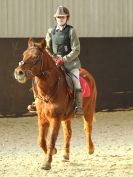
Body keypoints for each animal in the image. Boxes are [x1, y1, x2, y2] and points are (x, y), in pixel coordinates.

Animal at [14, 38, 96, 170]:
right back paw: (65, 155)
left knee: (87, 128)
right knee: (68, 133)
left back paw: (90, 149)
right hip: (66, 118)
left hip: (89, 110)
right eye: (24, 54)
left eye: (36, 57)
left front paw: (47, 163)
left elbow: (51, 140)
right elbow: (41, 140)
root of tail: (87, 74)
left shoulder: (55, 119)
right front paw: (53, 152)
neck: (49, 90)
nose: (19, 73)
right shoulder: (42, 119)